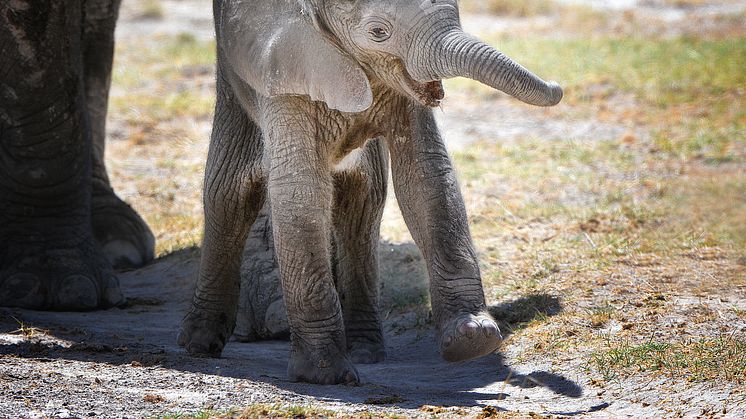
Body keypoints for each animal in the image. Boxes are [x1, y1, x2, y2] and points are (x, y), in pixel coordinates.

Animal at [179, 0, 560, 388]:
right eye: (379, 32)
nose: (557, 86)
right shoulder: (283, 72)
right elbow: (300, 191)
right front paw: (325, 375)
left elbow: (427, 177)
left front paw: (473, 339)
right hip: (233, 80)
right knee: (228, 194)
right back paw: (199, 344)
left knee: (361, 204)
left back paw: (367, 352)